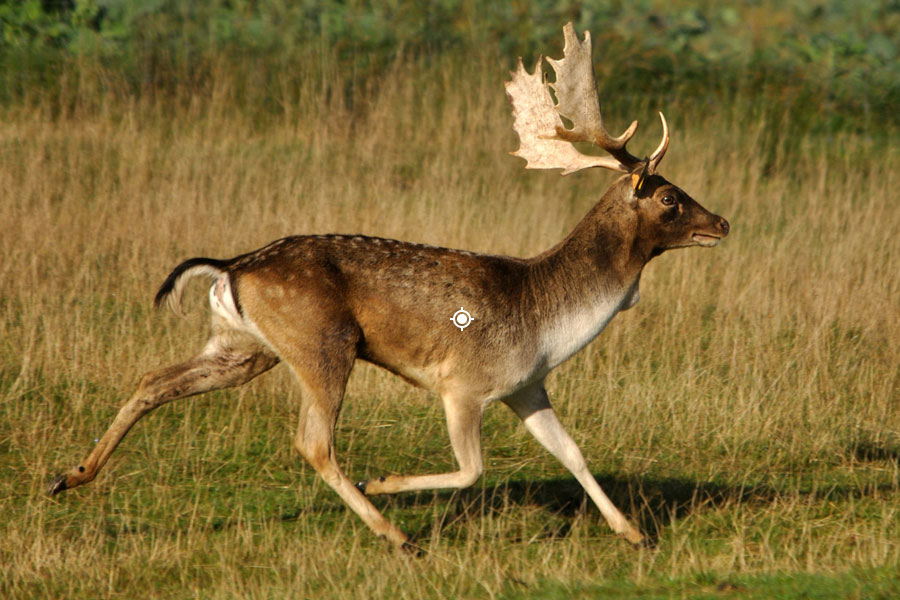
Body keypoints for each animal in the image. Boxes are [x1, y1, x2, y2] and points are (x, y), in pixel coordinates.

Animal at [45, 23, 728, 548]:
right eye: (669, 197)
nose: (721, 222)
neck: (547, 320)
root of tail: (231, 266)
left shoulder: (526, 386)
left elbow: (574, 453)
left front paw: (635, 534)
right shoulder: (463, 384)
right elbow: (472, 469)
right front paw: (386, 486)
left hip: (244, 346)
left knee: (154, 378)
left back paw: (68, 475)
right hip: (323, 342)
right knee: (313, 442)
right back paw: (395, 534)